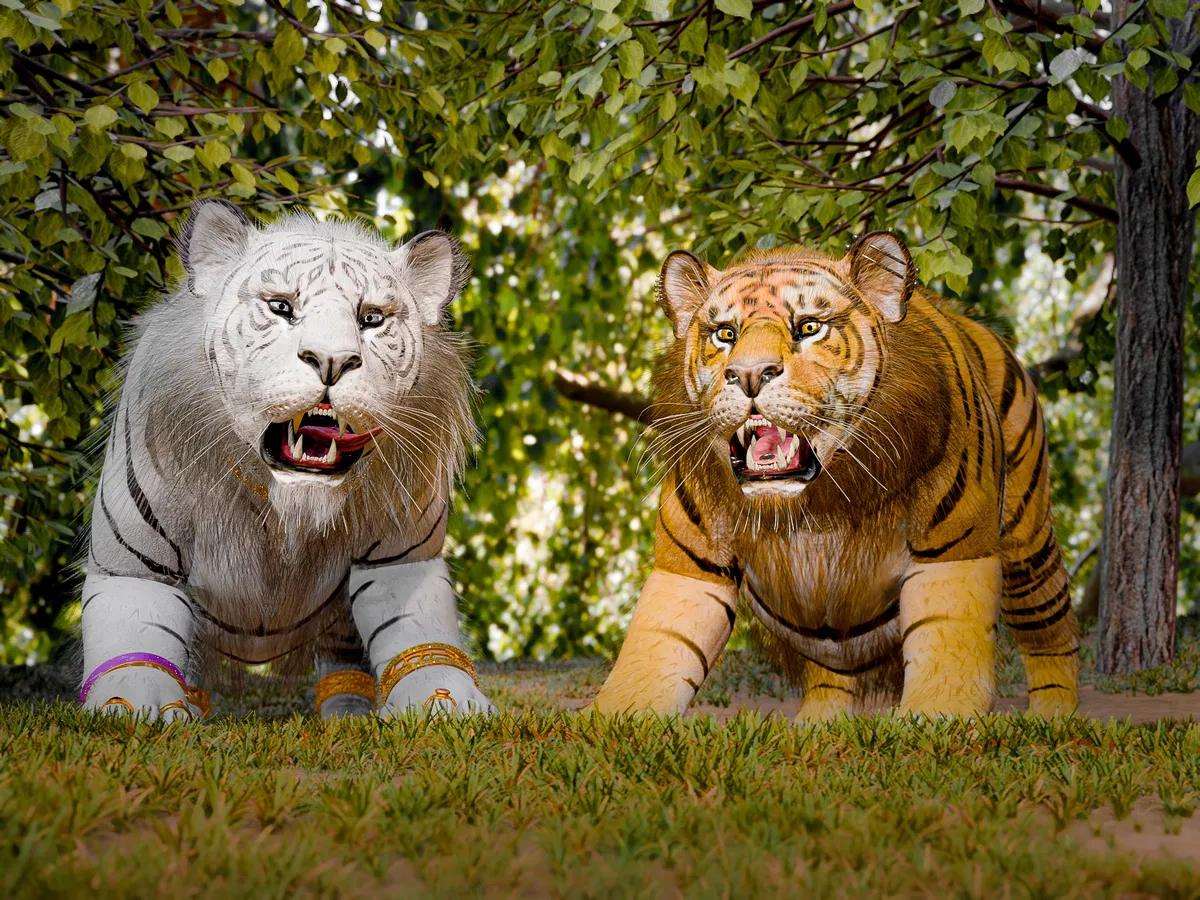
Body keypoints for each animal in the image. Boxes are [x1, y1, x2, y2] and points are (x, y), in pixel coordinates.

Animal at [78, 199, 495, 721]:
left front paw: (447, 702)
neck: (285, 507)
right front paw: (139, 708)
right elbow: (136, 645)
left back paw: (347, 712)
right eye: (280, 307)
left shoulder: (402, 558)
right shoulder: (133, 564)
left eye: (371, 318)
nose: (332, 360)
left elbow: (420, 635)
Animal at [591, 231, 1079, 720]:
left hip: (1027, 551)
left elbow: (948, 649)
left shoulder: (955, 552)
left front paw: (938, 720)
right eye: (725, 333)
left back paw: (1054, 714)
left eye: (809, 327)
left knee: (1052, 632)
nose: (749, 374)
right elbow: (654, 653)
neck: (811, 506)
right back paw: (818, 723)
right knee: (831, 668)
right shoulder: (688, 568)